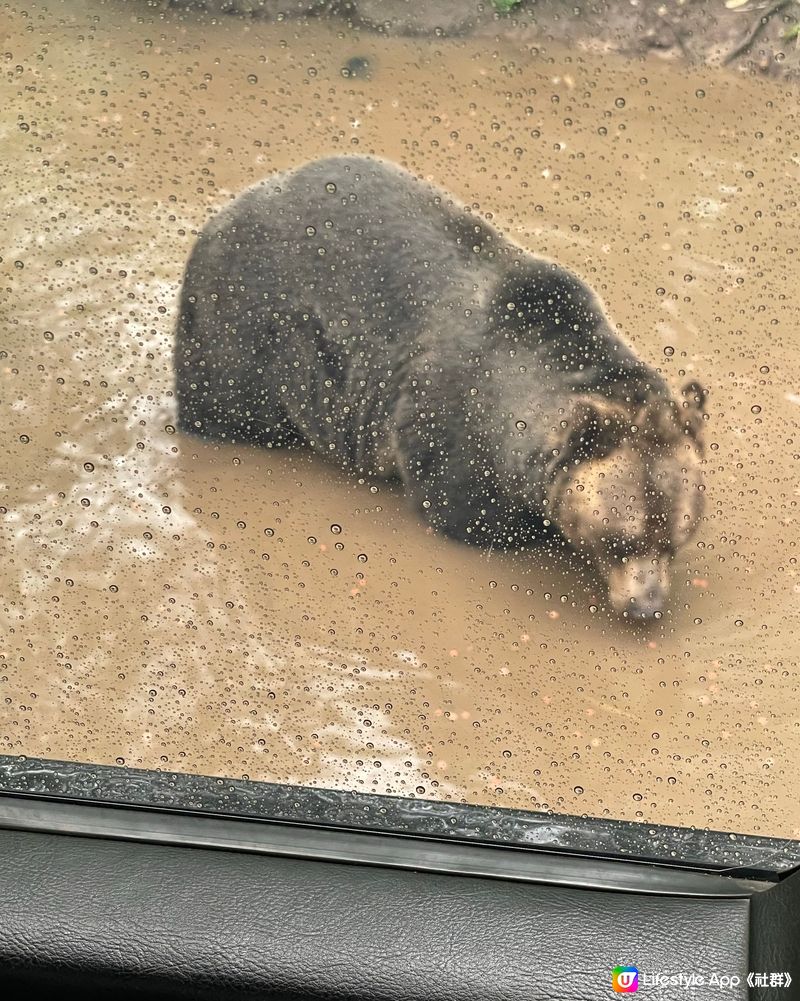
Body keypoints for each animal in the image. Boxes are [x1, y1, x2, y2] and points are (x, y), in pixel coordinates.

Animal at [175, 154, 708, 616]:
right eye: (619, 538)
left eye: (676, 538)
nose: (646, 606)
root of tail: (225, 209)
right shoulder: (448, 420)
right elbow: (466, 512)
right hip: (245, 332)